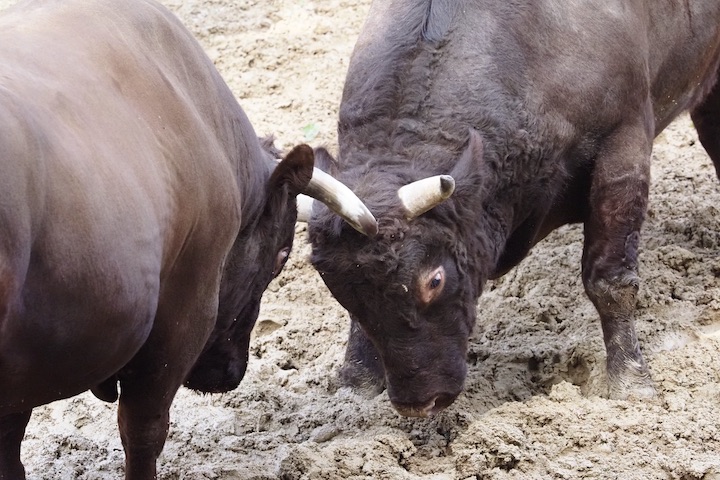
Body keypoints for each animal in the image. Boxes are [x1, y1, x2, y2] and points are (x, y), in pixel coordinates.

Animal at [306, 0, 720, 418]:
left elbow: (610, 282)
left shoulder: (623, 148)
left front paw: (631, 382)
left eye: (434, 280)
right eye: (337, 289)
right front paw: (356, 383)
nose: (418, 403)